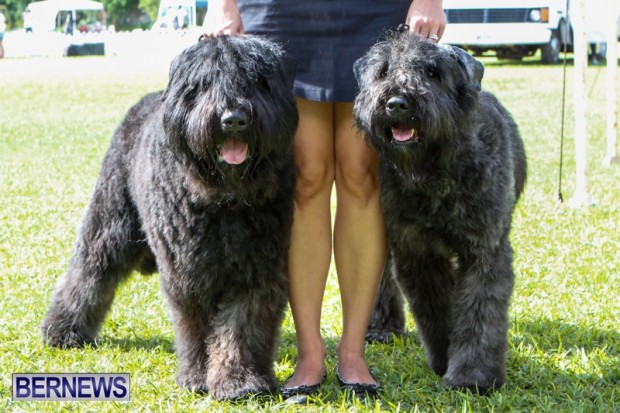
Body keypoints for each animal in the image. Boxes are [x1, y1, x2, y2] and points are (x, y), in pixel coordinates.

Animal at [40, 36, 300, 400]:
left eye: (257, 82)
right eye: (205, 83)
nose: (234, 119)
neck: (225, 201)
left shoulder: (259, 269)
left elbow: (242, 327)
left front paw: (240, 381)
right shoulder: (188, 271)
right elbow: (197, 326)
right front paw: (199, 376)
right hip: (110, 223)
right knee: (88, 272)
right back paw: (62, 331)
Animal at [356, 31, 524, 392]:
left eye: (432, 73)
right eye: (383, 72)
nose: (397, 103)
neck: (434, 174)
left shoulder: (484, 251)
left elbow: (478, 314)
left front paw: (472, 375)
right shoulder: (417, 251)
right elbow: (436, 310)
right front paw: (445, 357)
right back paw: (380, 327)